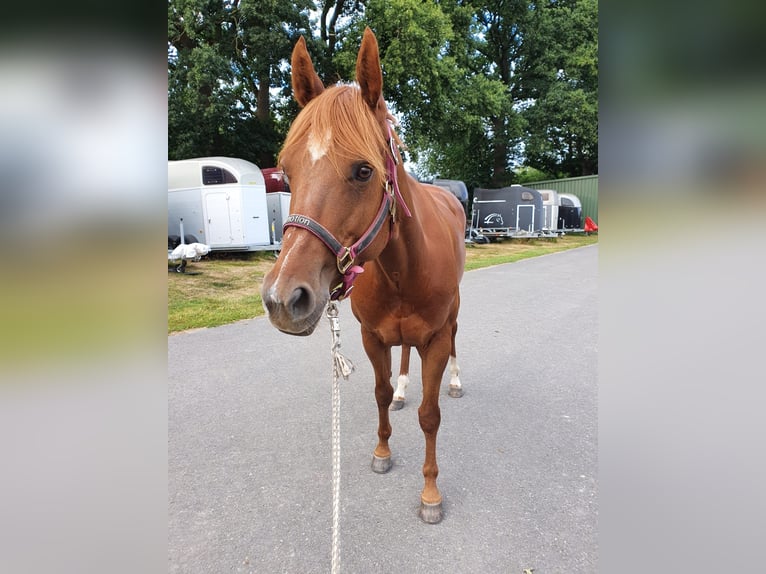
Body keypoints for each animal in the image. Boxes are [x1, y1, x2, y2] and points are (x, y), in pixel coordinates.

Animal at [262, 30, 468, 528]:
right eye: (287, 172)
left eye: (363, 170)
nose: (283, 298)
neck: (402, 268)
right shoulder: (373, 337)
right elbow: (378, 392)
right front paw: (382, 449)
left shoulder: (434, 339)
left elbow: (431, 415)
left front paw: (430, 493)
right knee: (404, 360)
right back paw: (404, 390)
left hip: (453, 317)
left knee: (455, 342)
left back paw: (455, 381)